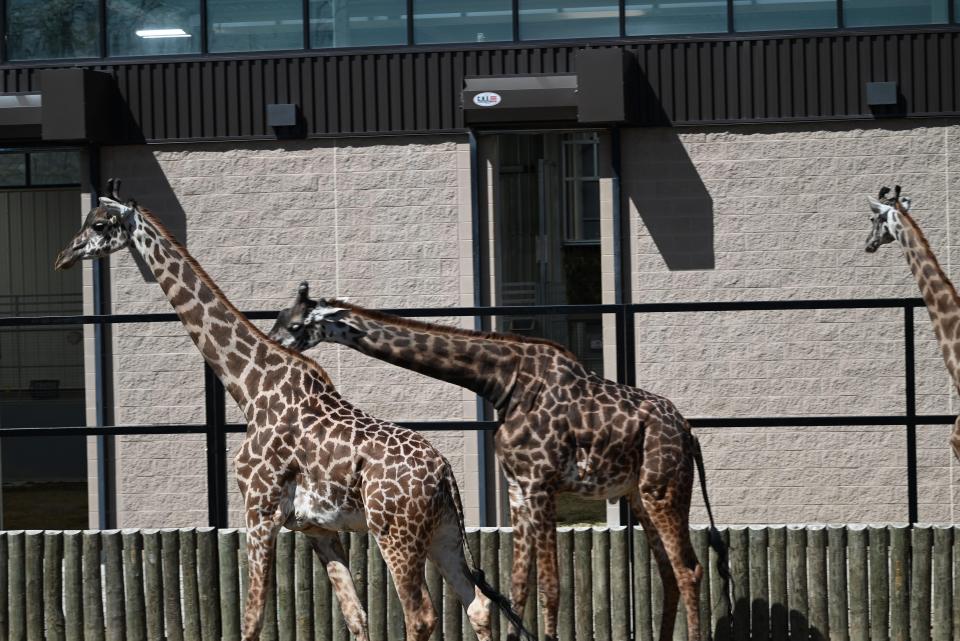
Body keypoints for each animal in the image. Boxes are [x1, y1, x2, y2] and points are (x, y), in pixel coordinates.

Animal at [52, 180, 532, 640]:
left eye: (99, 223)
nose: (62, 256)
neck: (249, 388)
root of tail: (445, 475)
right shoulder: (315, 528)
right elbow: (355, 616)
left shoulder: (259, 510)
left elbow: (252, 618)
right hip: (443, 534)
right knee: (478, 605)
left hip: (396, 532)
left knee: (422, 616)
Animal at [266, 282, 732, 640]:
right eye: (278, 317)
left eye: (294, 324)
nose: (272, 344)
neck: (502, 383)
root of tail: (689, 433)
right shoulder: (519, 486)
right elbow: (518, 584)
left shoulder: (542, 483)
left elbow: (550, 587)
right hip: (639, 493)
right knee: (669, 573)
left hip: (663, 489)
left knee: (689, 570)